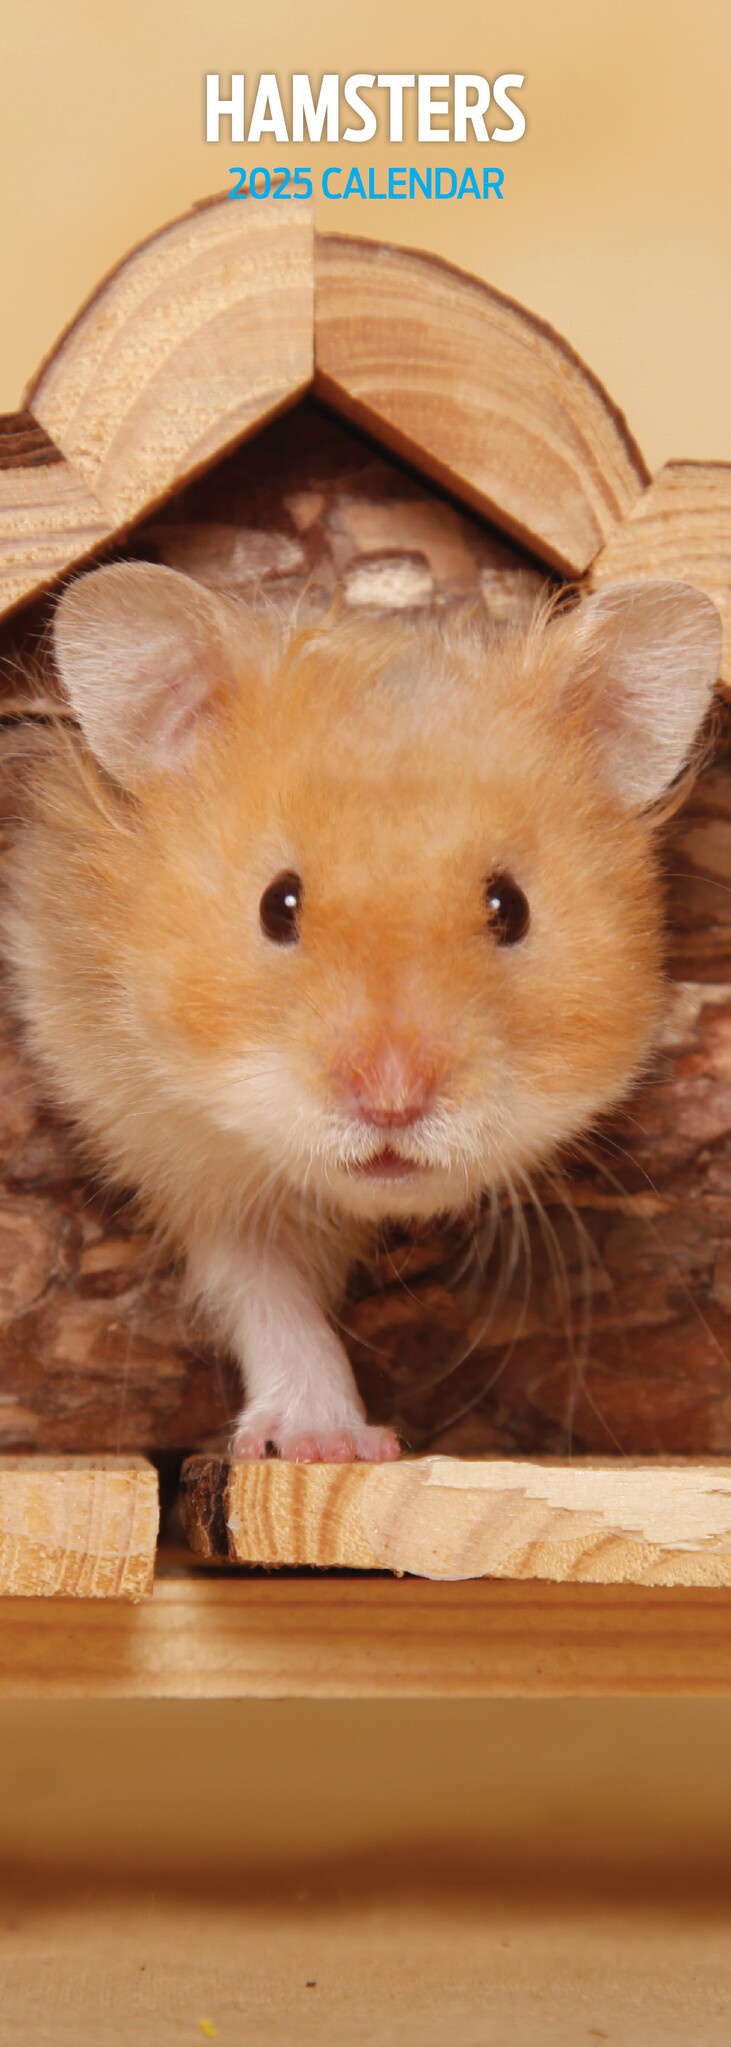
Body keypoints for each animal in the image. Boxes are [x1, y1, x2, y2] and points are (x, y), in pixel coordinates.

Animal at [3, 563, 722, 1461]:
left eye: (509, 906)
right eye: (278, 905)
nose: (390, 1103)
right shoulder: (181, 1150)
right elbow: (269, 1293)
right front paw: (328, 1445)